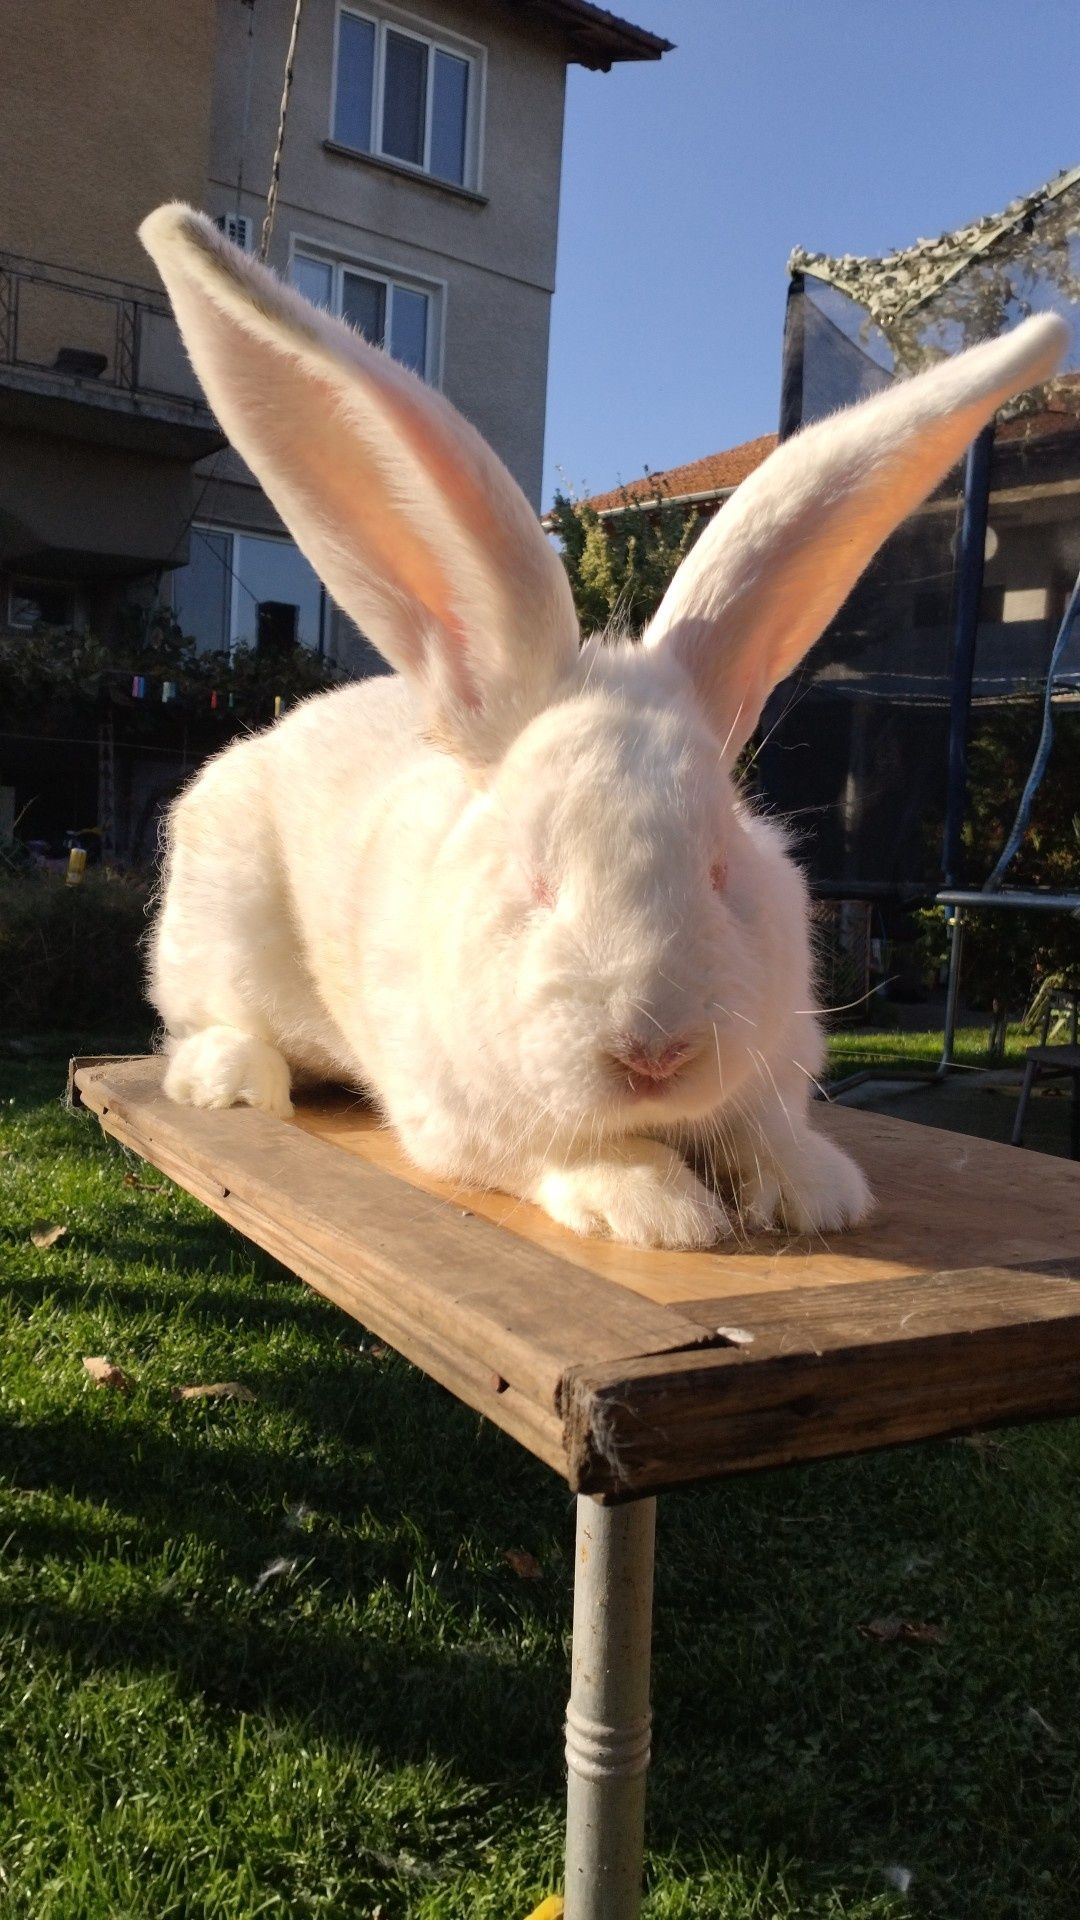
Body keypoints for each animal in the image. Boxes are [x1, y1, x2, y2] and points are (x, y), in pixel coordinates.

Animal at [138, 210, 1060, 1251]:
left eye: (720, 868)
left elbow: (768, 1131)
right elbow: (563, 1153)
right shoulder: (457, 1117)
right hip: (216, 938)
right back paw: (236, 1082)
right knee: (204, 1023)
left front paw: (816, 1188)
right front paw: (654, 1207)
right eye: (534, 879)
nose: (655, 1052)